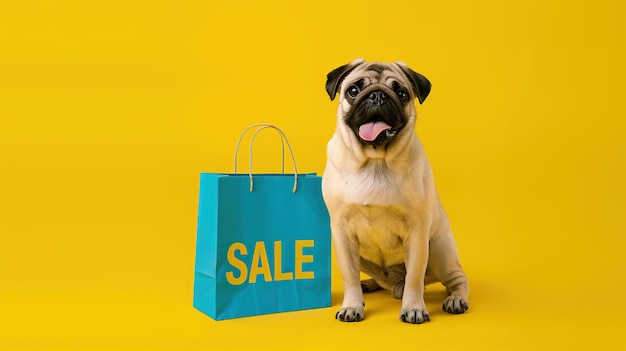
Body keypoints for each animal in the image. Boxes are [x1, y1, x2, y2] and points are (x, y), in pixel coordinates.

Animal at [322, 58, 468, 324]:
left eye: (401, 94)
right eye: (353, 90)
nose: (378, 95)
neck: (375, 161)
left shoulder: (417, 232)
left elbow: (414, 278)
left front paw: (414, 308)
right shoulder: (342, 232)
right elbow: (349, 277)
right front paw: (352, 305)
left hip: (439, 251)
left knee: (456, 279)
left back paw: (456, 299)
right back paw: (369, 284)